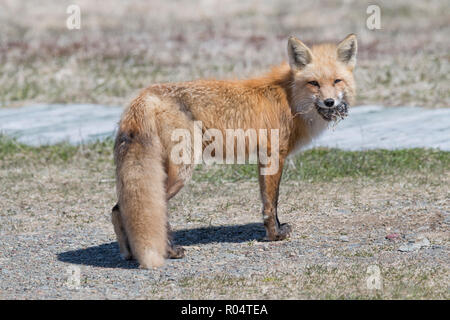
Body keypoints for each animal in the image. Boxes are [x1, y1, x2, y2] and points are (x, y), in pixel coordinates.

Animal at [110, 33, 356, 268]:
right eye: (314, 83)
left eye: (337, 81)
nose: (330, 102)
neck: (289, 99)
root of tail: (143, 96)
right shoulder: (274, 156)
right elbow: (272, 203)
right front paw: (275, 235)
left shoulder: (262, 158)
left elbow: (267, 201)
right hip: (181, 171)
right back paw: (168, 251)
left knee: (118, 210)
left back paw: (129, 253)